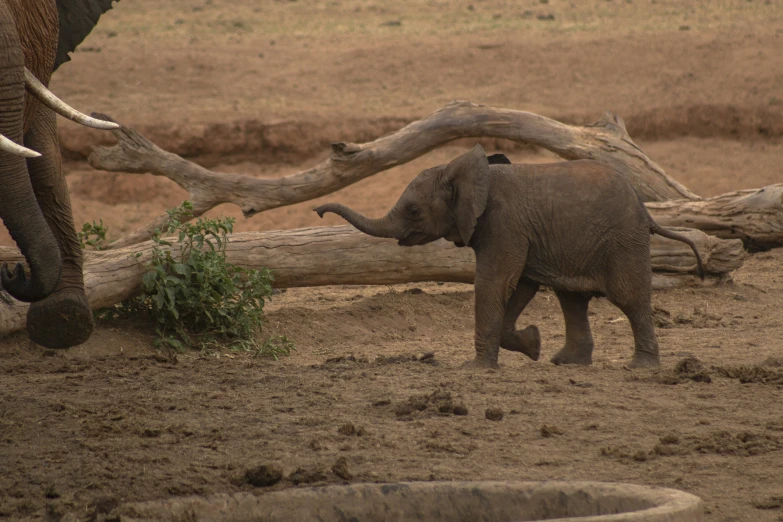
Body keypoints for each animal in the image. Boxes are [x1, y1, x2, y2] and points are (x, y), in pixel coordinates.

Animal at [316, 144, 708, 368]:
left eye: (413, 211)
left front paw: (474, 370)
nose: (318, 211)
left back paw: (640, 368)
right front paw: (532, 344)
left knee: (629, 298)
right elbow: (519, 287)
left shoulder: (503, 224)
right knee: (572, 300)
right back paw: (565, 364)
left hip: (622, 239)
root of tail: (647, 212)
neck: (467, 172)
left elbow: (494, 283)